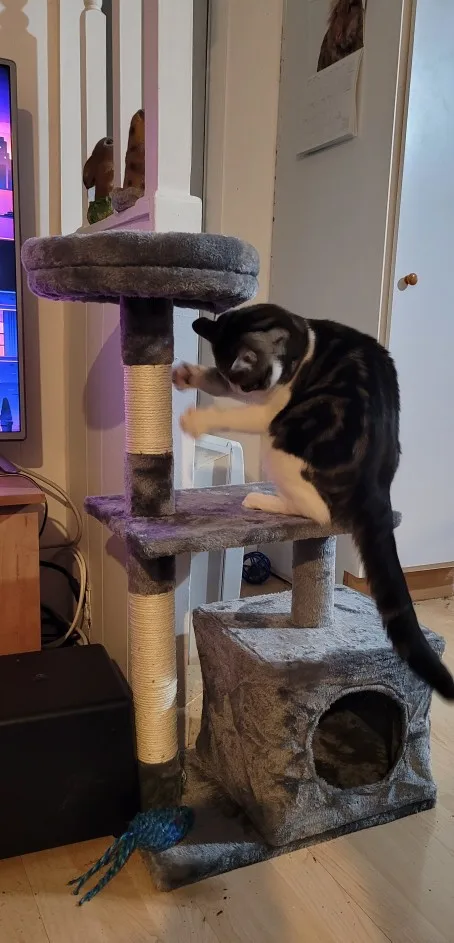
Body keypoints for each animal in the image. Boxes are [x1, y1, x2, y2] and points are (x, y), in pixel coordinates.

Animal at [173, 303, 454, 700]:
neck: (305, 340)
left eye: (249, 380)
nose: (242, 388)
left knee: (318, 511)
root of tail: (376, 484)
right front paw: (188, 374)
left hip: (280, 443)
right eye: (234, 380)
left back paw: (262, 499)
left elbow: (244, 413)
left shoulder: (269, 406)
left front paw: (197, 420)